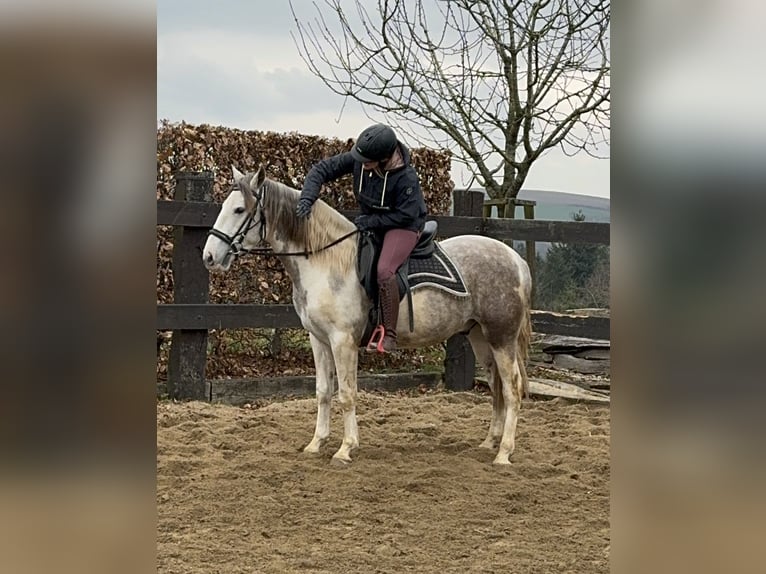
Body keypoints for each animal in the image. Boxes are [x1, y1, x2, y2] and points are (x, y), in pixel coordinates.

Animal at [204, 166, 536, 468]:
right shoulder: (318, 340)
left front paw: (345, 448)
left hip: (501, 337)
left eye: (239, 209)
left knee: (512, 388)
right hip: (480, 337)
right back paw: (489, 443)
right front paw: (316, 444)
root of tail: (515, 260)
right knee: (496, 385)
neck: (326, 260)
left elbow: (347, 394)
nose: (209, 257)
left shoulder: (343, 341)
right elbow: (323, 392)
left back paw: (504, 452)